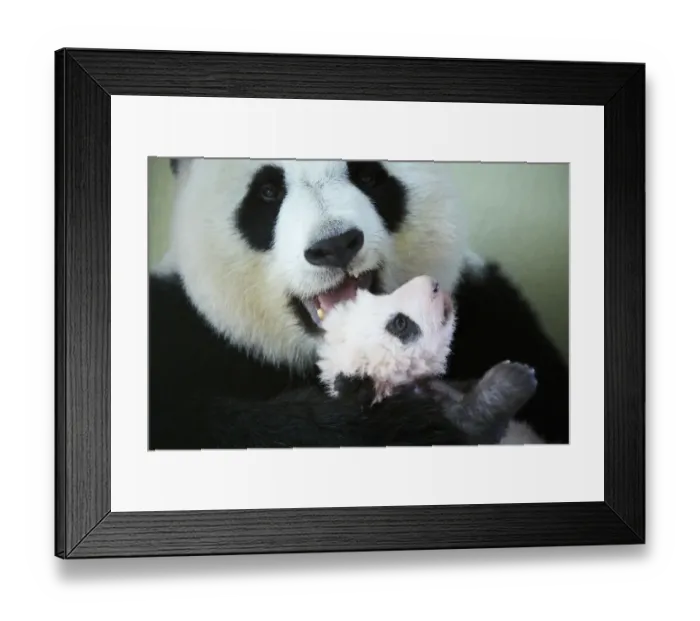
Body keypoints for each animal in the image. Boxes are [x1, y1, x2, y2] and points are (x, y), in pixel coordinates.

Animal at [148, 158, 569, 450]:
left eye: (368, 176)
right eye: (267, 191)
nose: (335, 245)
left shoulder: (492, 314)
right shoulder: (177, 334)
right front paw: (447, 413)